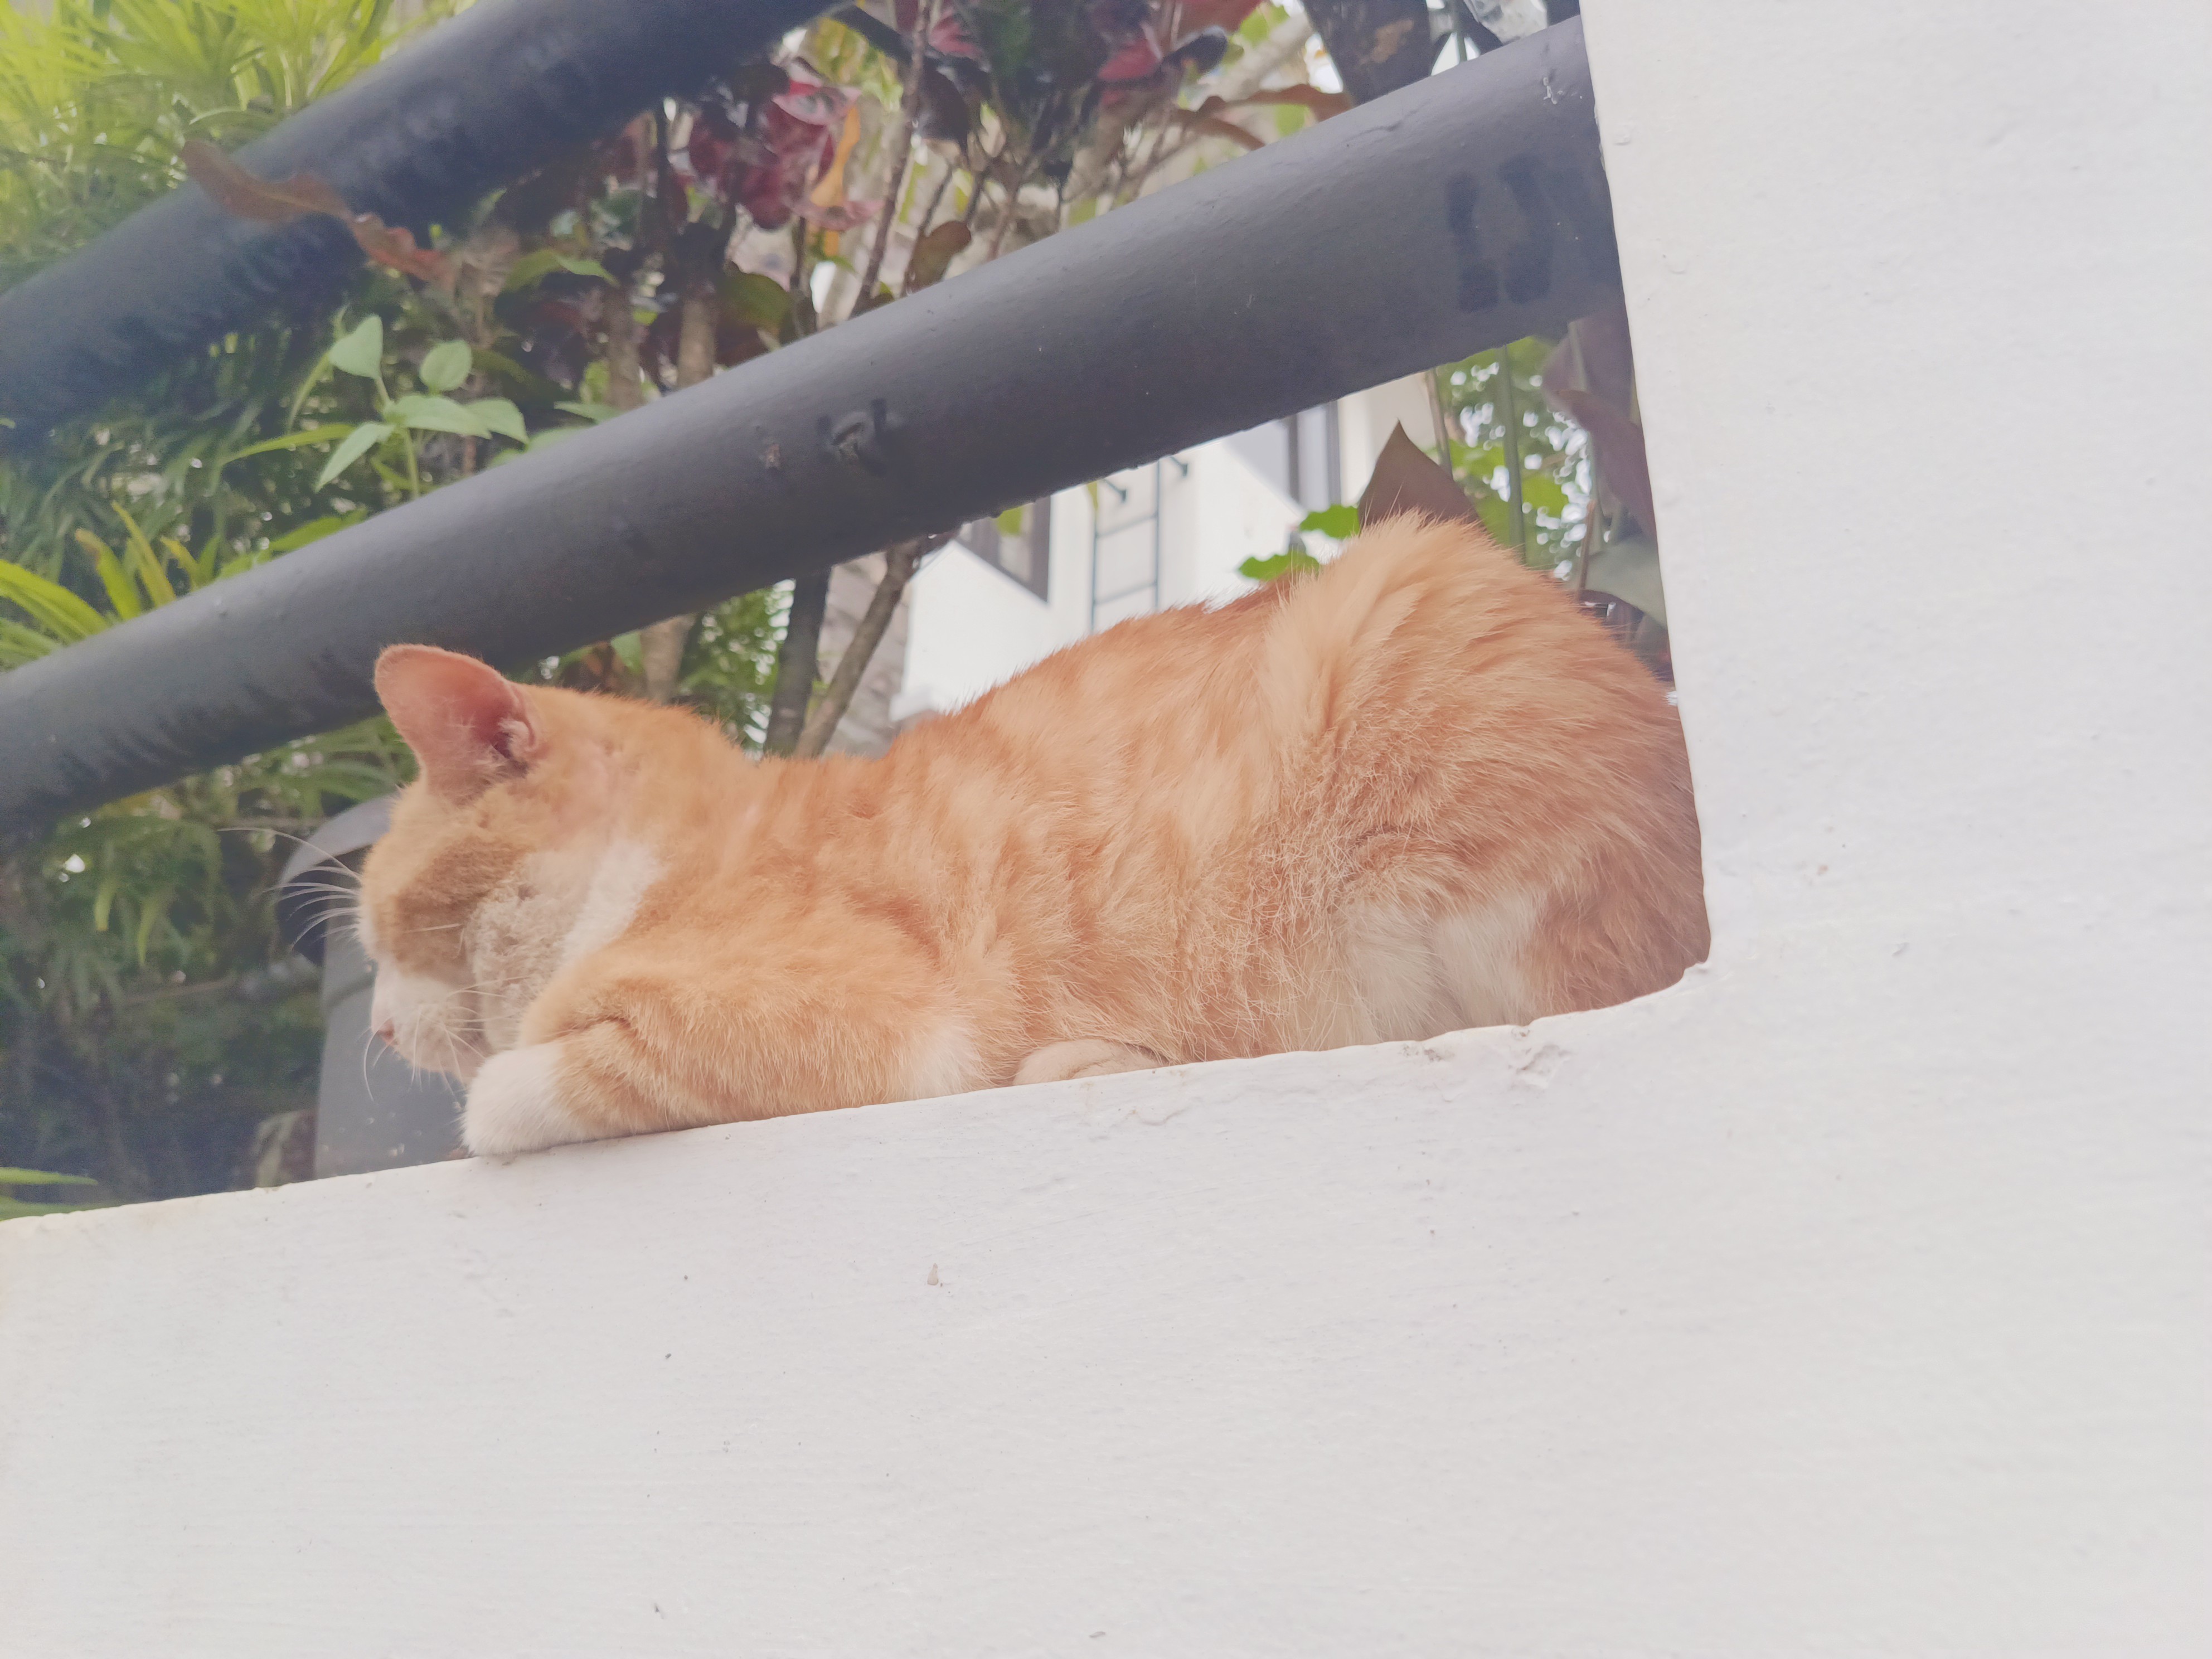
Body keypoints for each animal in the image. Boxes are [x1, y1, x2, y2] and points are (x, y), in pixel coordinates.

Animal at [357, 510, 1708, 1157]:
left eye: (381, 928)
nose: (369, 1026)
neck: (663, 863)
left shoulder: (880, 1029)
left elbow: (520, 1088)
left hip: (1402, 624)